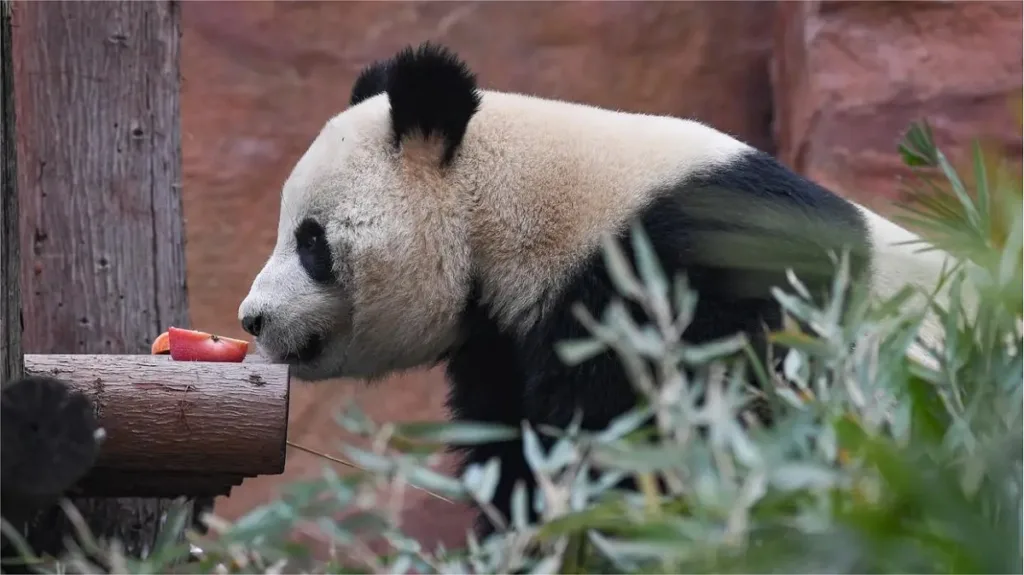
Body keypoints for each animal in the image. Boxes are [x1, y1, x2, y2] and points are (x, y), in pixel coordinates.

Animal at [238, 42, 961, 534]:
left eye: (311, 242)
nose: (253, 318)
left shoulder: (682, 284)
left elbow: (637, 452)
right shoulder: (504, 343)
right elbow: (518, 459)